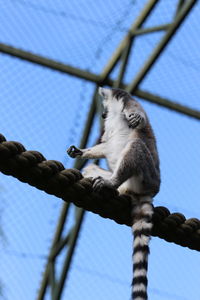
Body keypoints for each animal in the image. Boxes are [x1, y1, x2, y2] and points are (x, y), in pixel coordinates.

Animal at [67, 86, 161, 300]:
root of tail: (151, 188)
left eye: (104, 107)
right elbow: (104, 144)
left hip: (146, 173)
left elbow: (139, 117)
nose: (102, 115)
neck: (116, 111)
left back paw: (111, 181)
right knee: (92, 168)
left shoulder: (130, 104)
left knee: (135, 147)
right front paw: (81, 152)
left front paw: (137, 118)